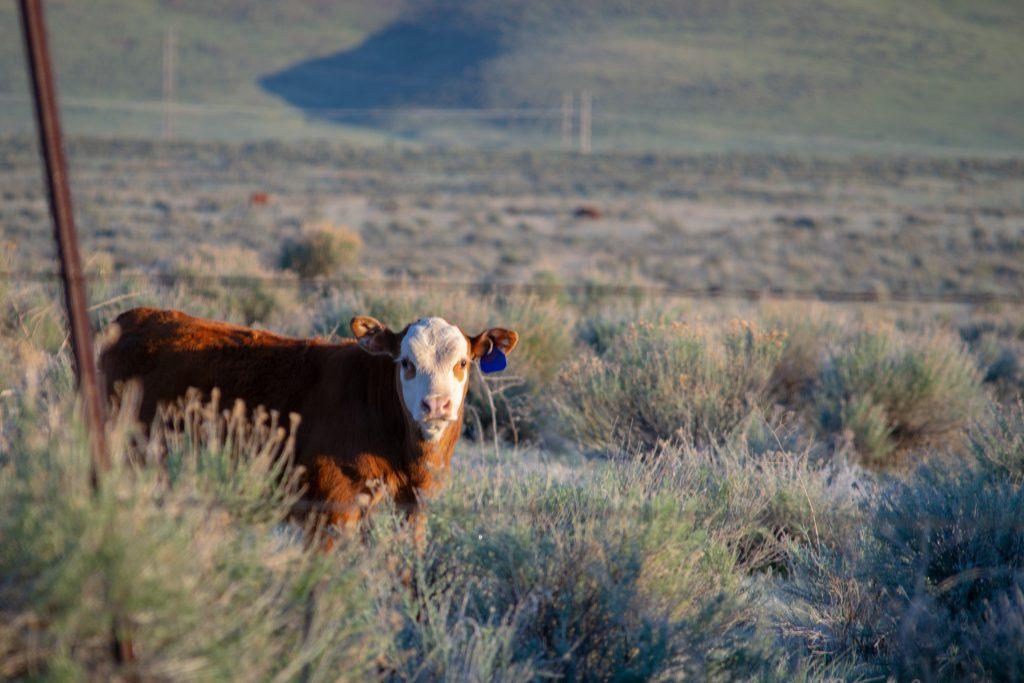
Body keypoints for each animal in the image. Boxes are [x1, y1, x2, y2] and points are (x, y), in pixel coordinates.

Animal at [97, 309, 520, 540]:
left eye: (462, 363)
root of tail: (134, 317)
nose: (437, 404)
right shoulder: (330, 512)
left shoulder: (412, 507)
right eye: (406, 363)